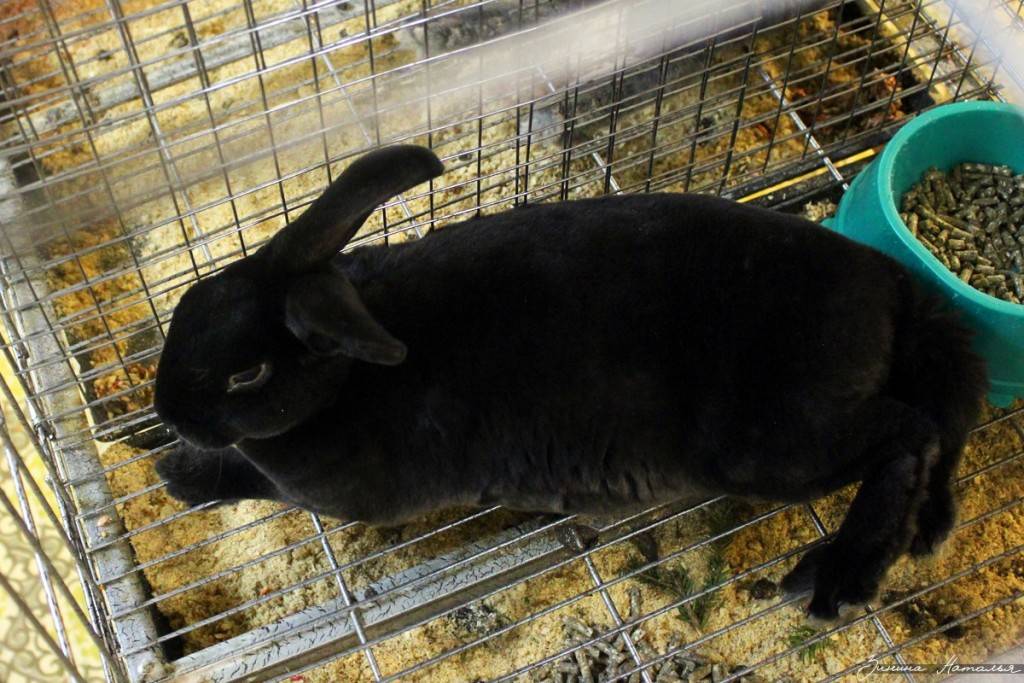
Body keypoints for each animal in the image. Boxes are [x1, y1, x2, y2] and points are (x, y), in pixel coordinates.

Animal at [154, 144, 988, 620]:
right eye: (188, 302)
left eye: (247, 372)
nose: (163, 409)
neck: (342, 377)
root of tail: (891, 285)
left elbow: (244, 475)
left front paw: (176, 474)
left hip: (774, 443)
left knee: (910, 435)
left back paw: (834, 579)